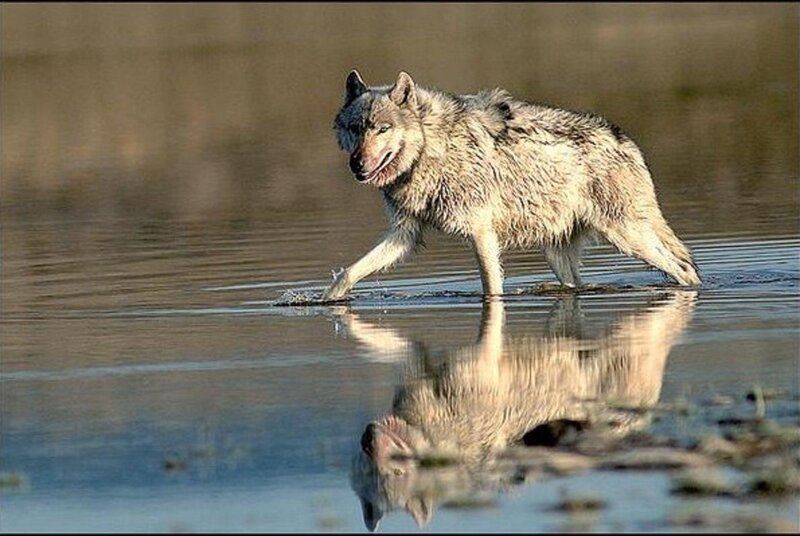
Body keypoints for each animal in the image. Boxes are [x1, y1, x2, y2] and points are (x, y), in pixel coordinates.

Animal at [323, 70, 700, 300]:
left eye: (382, 129)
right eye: (356, 128)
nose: (357, 164)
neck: (431, 149)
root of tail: (627, 140)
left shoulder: (480, 233)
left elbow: (491, 288)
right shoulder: (404, 236)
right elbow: (347, 274)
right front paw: (327, 301)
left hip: (626, 237)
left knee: (684, 271)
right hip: (557, 254)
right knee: (578, 284)